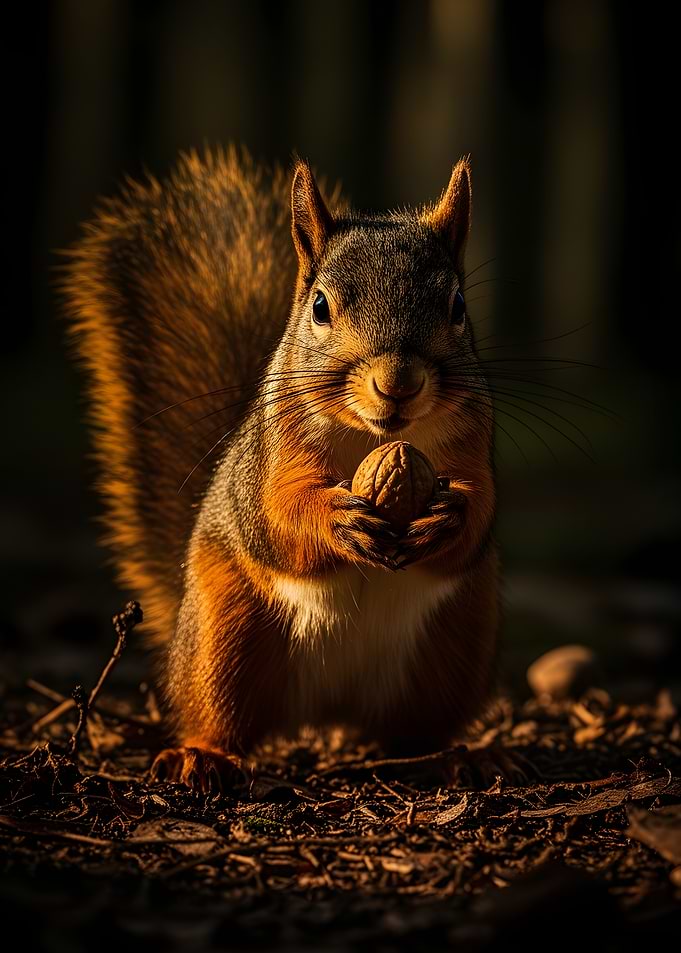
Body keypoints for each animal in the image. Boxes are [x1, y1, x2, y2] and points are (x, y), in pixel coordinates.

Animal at [64, 146, 499, 791]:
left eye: (458, 307)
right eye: (320, 306)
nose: (397, 385)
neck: (377, 438)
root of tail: (327, 713)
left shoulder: (475, 440)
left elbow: (479, 513)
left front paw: (449, 514)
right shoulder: (269, 460)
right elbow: (276, 517)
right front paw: (334, 519)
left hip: (453, 649)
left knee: (413, 731)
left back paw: (454, 757)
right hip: (227, 634)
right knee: (217, 714)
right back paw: (202, 756)